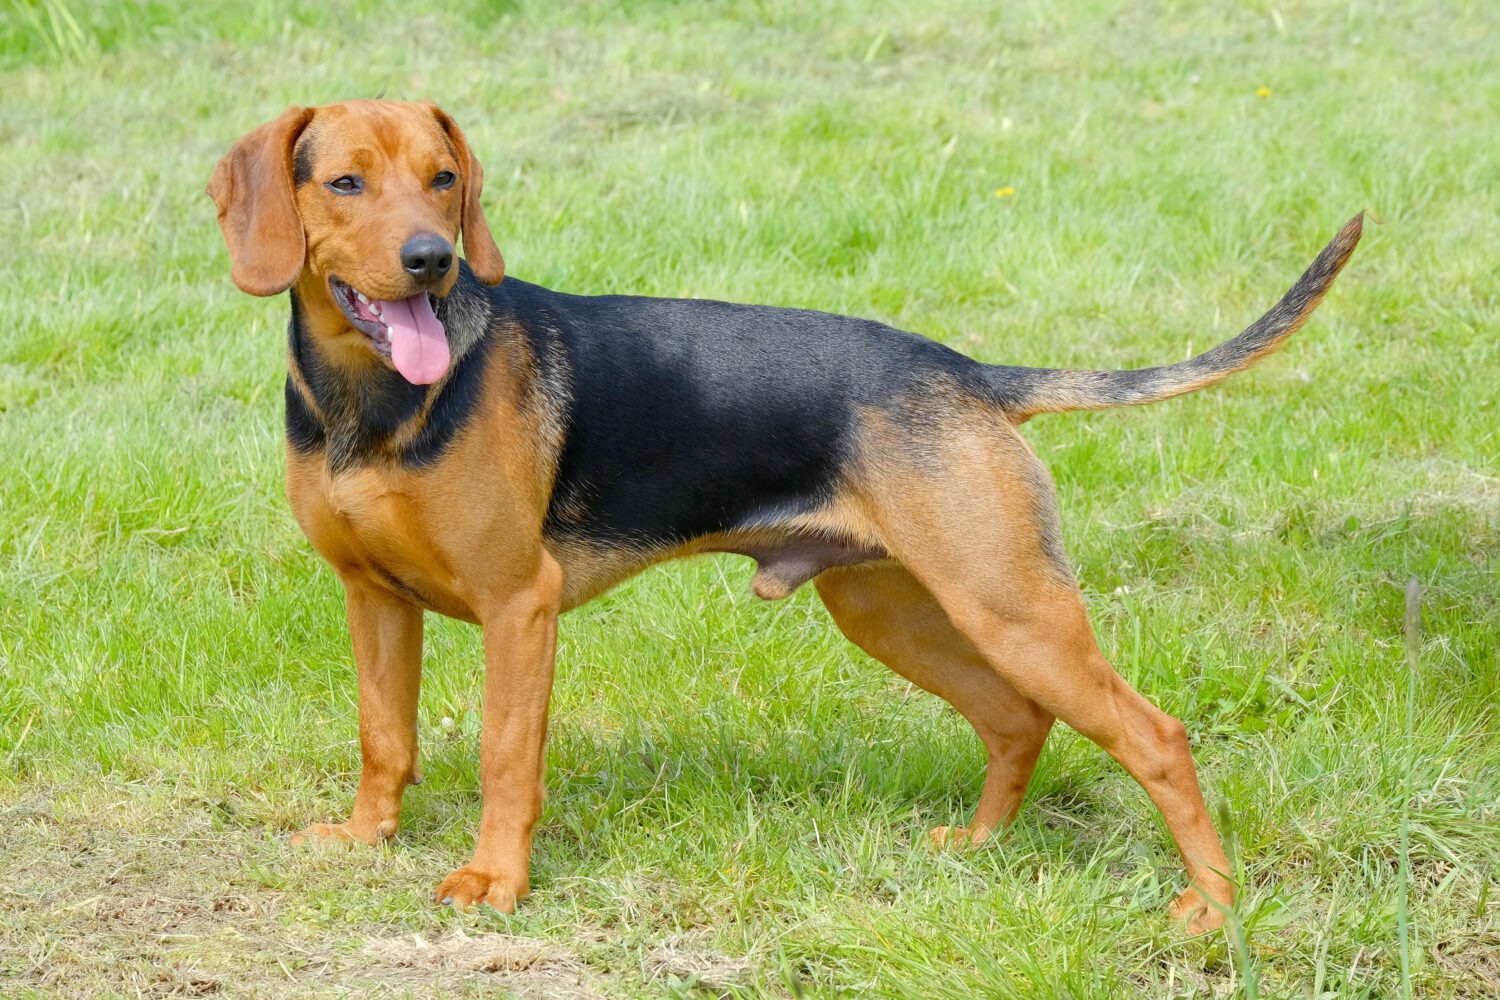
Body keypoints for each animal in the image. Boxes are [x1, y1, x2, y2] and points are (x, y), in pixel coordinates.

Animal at [205, 97, 1368, 935]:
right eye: (344, 181)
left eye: (444, 181)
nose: (431, 261)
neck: (373, 402)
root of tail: (969, 375)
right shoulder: (371, 599)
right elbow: (384, 736)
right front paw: (367, 838)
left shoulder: (516, 605)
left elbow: (503, 757)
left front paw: (496, 881)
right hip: (894, 607)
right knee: (1014, 719)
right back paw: (981, 847)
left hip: (1011, 605)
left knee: (1156, 736)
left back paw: (1211, 906)